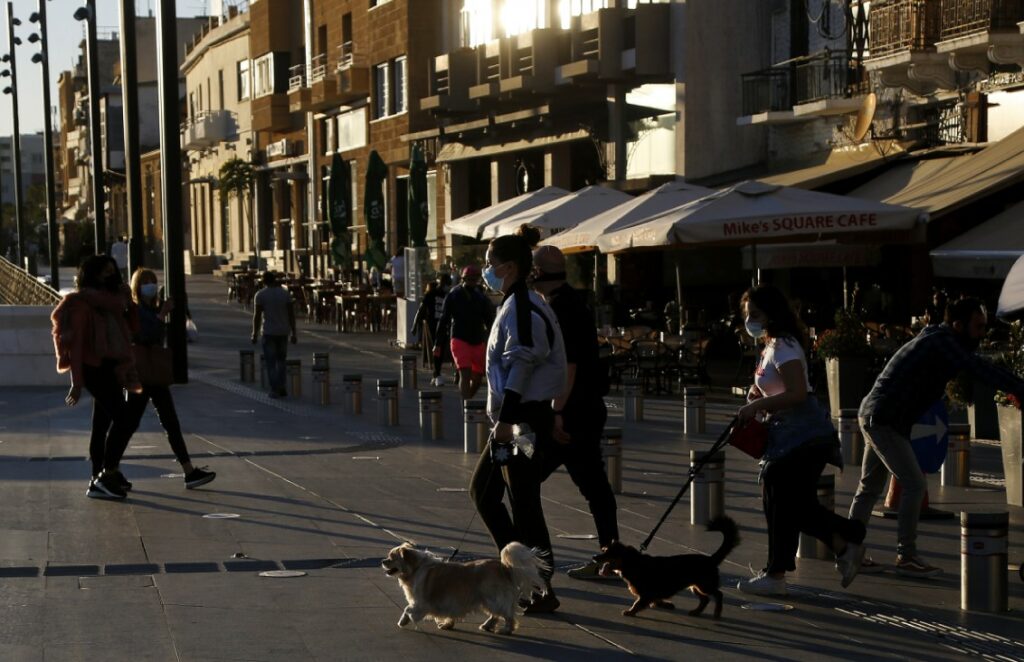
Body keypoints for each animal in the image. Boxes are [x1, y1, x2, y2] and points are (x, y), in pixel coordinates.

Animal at [380, 545, 548, 639]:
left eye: (392, 557)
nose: (382, 561)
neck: (415, 568)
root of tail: (504, 567)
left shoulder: (421, 603)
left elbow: (407, 609)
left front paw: (403, 621)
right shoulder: (448, 602)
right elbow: (448, 614)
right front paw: (447, 624)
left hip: (493, 599)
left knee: (507, 616)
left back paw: (505, 630)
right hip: (488, 600)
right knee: (496, 615)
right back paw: (486, 626)